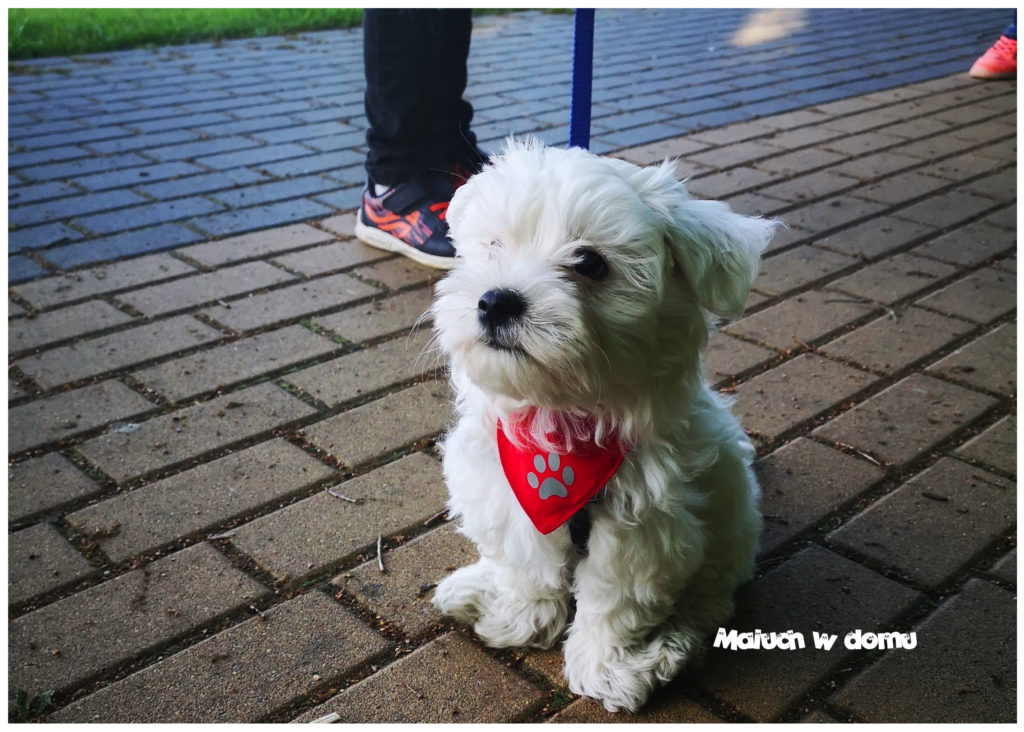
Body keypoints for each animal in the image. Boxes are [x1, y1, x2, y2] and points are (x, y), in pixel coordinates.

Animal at [429, 139, 778, 712]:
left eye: (589, 263)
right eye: (494, 245)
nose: (496, 300)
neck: (562, 428)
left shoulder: (644, 524)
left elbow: (616, 599)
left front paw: (607, 669)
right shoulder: (509, 490)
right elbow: (527, 566)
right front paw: (521, 619)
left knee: (708, 602)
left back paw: (671, 646)